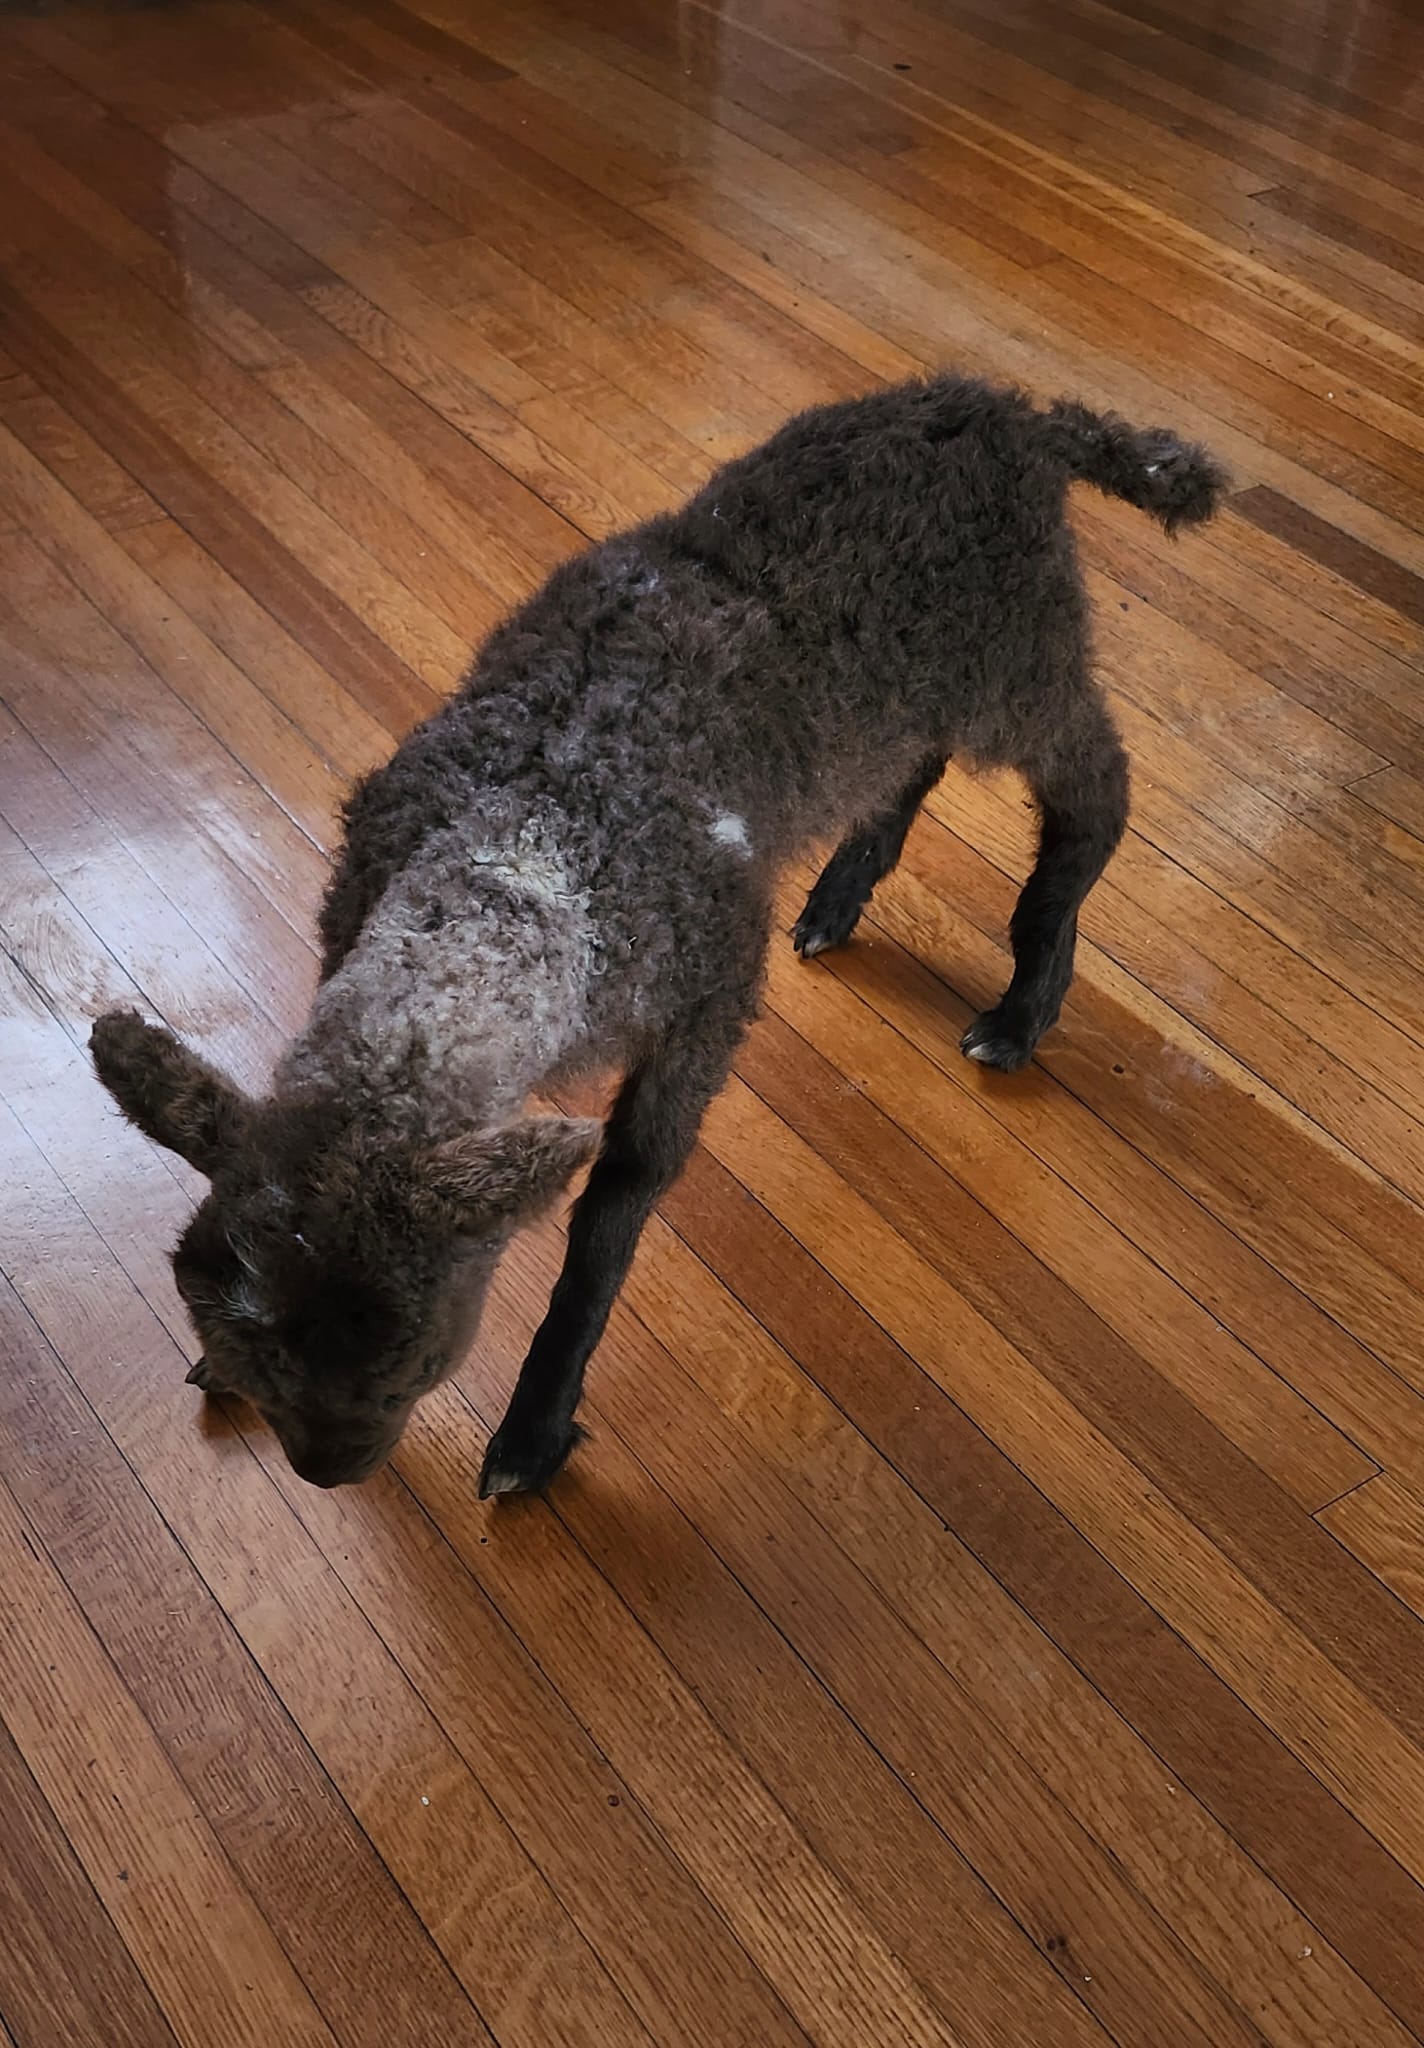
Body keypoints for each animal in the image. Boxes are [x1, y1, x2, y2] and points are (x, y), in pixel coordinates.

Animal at [91, 374, 1225, 1497]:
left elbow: (609, 1221)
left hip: (1019, 657)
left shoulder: (701, 1005)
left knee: (1098, 783)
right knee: (907, 761)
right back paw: (836, 899)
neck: (523, 847)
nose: (328, 1475)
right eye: (254, 1347)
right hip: (914, 682)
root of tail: (1019, 412)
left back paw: (1024, 1003)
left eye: (413, 1359)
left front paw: (533, 1432)